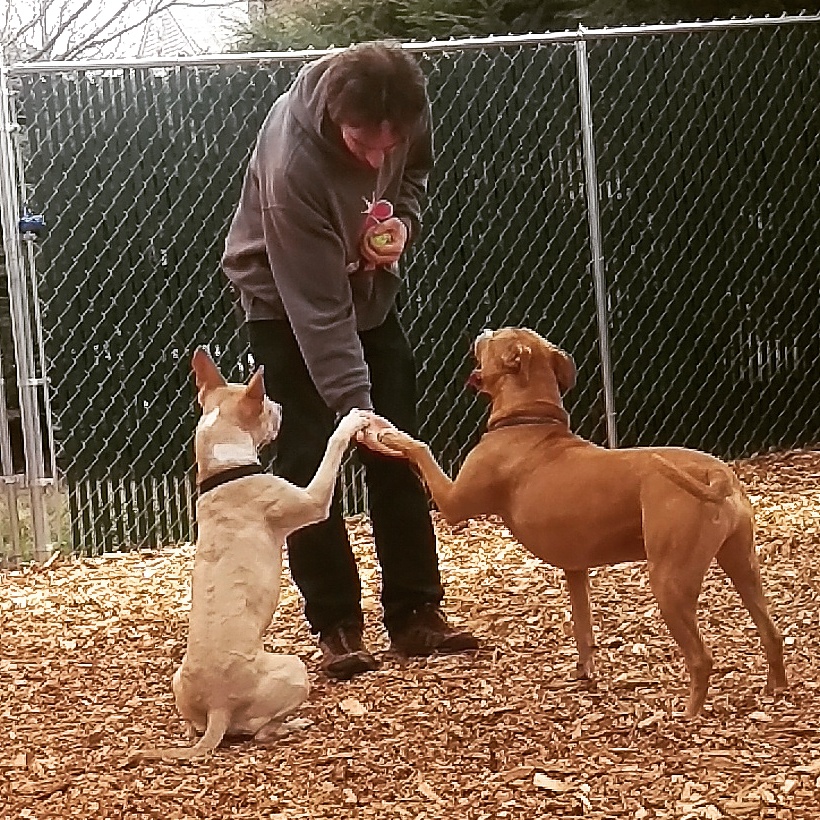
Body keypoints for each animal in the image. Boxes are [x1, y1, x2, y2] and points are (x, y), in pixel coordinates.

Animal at [133, 348, 368, 760]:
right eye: (266, 404)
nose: (281, 405)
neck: (225, 468)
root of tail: (217, 707)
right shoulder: (313, 501)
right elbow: (331, 451)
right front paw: (351, 421)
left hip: (181, 684)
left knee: (198, 727)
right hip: (293, 668)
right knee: (260, 732)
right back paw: (292, 724)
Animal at [376, 328, 787, 716]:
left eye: (496, 337)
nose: (483, 329)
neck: (527, 419)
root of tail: (716, 473)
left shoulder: (452, 503)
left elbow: (419, 448)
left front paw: (389, 434)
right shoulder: (576, 569)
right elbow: (582, 625)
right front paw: (585, 672)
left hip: (670, 581)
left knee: (702, 658)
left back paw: (688, 715)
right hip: (742, 565)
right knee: (772, 633)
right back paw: (775, 690)